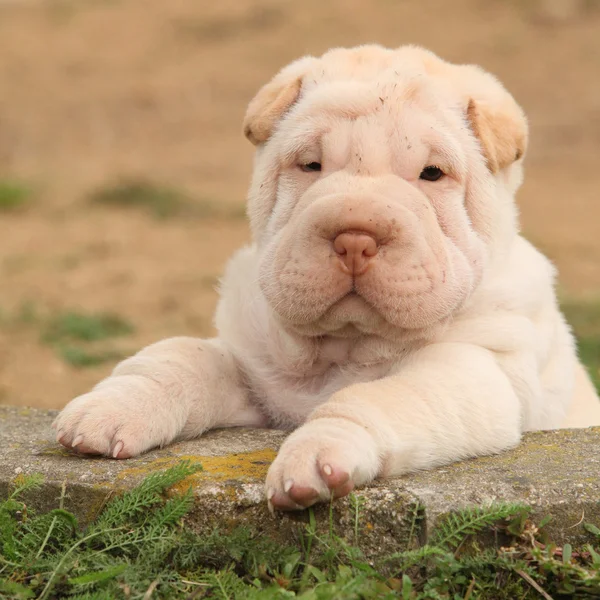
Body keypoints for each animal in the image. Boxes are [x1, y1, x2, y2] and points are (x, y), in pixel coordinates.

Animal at [52, 44, 600, 510]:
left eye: (432, 174)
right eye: (310, 164)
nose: (355, 239)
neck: (343, 350)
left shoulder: (474, 371)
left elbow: (376, 397)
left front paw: (315, 456)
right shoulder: (249, 367)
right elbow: (179, 359)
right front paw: (109, 409)